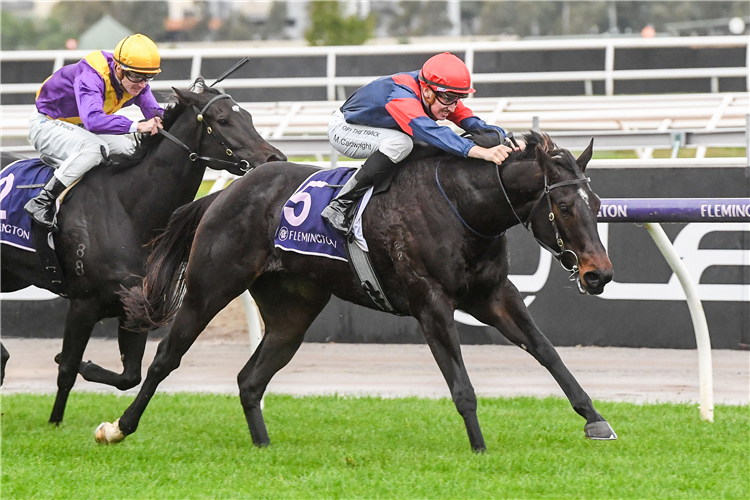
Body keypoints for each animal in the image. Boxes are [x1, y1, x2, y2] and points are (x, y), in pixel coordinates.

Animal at [0, 80, 286, 424]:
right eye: (223, 120)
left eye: (249, 116)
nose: (275, 158)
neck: (126, 207)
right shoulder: (83, 303)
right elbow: (66, 369)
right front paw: (55, 422)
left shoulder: (134, 304)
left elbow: (129, 376)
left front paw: (87, 367)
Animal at [98, 131, 616, 452]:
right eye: (564, 207)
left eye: (596, 204)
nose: (599, 275)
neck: (463, 205)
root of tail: (224, 193)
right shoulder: (431, 304)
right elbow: (461, 384)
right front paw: (480, 448)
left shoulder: (492, 294)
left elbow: (546, 351)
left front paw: (594, 418)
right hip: (211, 287)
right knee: (166, 359)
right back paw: (118, 427)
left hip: (293, 310)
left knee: (251, 378)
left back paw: (264, 447)